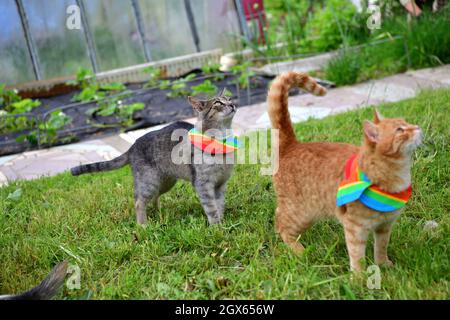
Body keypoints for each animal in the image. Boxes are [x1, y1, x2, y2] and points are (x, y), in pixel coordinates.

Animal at [71, 89, 236, 225]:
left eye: (229, 98)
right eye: (218, 103)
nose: (232, 104)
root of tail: (133, 146)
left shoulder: (221, 184)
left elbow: (219, 205)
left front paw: (223, 223)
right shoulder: (203, 184)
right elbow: (211, 209)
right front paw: (217, 229)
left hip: (165, 182)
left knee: (154, 198)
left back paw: (160, 213)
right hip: (149, 182)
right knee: (139, 202)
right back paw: (143, 226)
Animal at [270, 72, 422, 270]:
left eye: (406, 123)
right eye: (400, 130)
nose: (417, 127)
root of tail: (292, 145)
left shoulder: (384, 226)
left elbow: (381, 248)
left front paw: (384, 265)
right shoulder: (355, 228)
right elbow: (357, 256)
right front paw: (359, 275)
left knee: (277, 215)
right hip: (302, 212)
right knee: (283, 224)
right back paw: (299, 251)